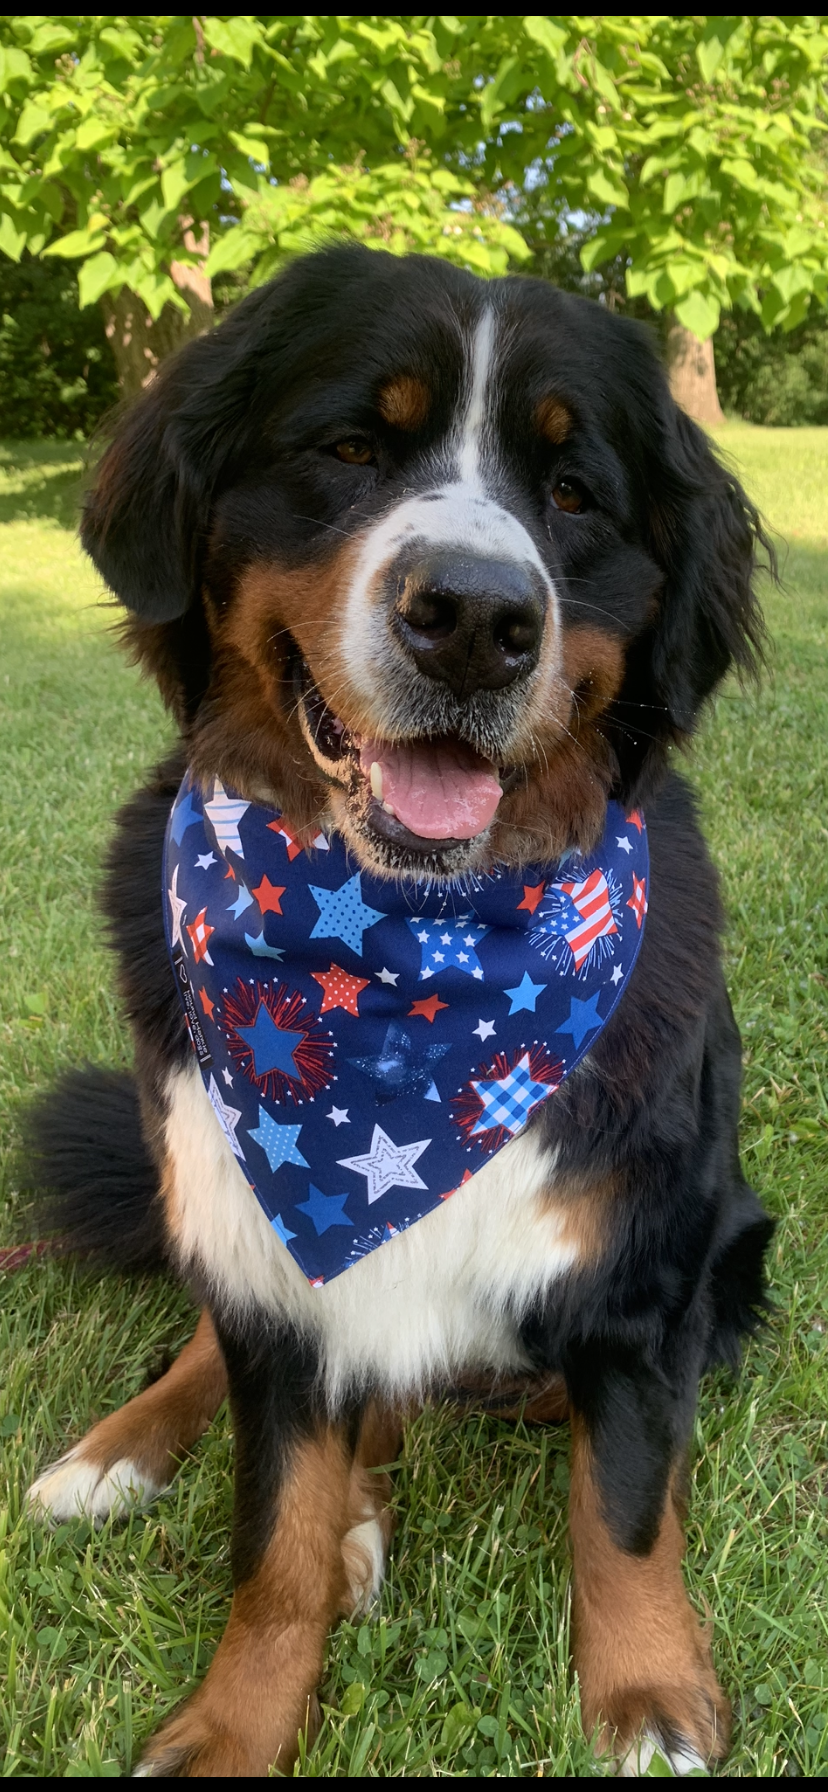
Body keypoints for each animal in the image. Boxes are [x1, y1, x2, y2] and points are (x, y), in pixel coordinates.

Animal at [27, 241, 777, 1777]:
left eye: (573, 492)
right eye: (352, 449)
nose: (480, 620)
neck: (407, 983)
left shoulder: (642, 1272)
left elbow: (624, 1505)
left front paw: (650, 1693)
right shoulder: (269, 1265)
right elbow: (275, 1540)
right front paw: (233, 1723)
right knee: (223, 1347)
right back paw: (120, 1453)